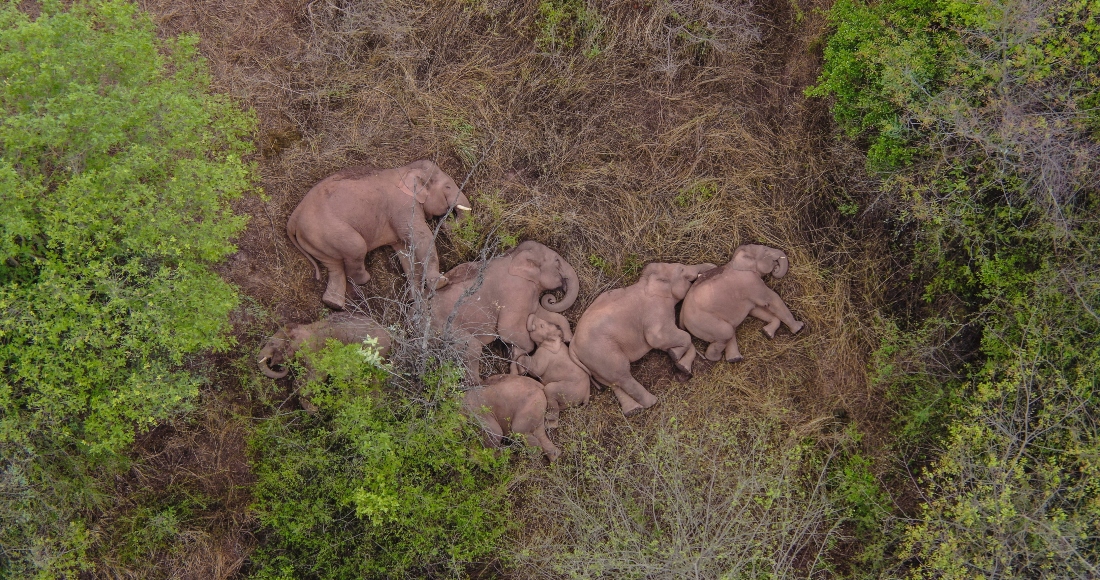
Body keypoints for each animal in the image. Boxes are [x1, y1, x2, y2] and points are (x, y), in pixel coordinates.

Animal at [286, 158, 470, 310]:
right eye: (447, 187)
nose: (445, 221)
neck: (406, 169)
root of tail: (293, 218)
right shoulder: (403, 206)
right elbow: (420, 236)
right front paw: (441, 283)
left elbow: (405, 251)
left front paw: (414, 299)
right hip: (328, 230)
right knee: (356, 248)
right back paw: (363, 280)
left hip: (317, 240)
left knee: (334, 266)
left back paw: (333, 304)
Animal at [572, 260, 717, 416]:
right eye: (681, 269)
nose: (713, 267)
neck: (646, 282)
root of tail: (572, 347)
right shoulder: (656, 311)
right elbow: (662, 338)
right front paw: (675, 355)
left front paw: (679, 362)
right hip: (602, 353)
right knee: (622, 376)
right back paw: (652, 402)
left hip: (594, 363)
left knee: (613, 382)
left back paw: (633, 410)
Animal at [677, 242, 809, 360]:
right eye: (765, 250)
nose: (776, 267)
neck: (735, 260)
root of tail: (681, 315)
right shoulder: (751, 282)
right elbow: (772, 300)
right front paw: (799, 327)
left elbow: (755, 310)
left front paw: (767, 333)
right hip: (703, 322)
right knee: (727, 332)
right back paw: (718, 358)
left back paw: (734, 358)